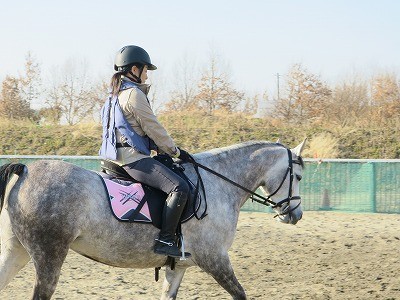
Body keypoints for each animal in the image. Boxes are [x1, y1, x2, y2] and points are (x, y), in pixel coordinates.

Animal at [0, 141, 306, 300]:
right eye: (299, 177)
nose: (296, 215)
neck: (218, 184)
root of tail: (26, 170)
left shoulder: (178, 266)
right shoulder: (216, 260)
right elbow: (240, 294)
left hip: (17, 251)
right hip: (48, 255)